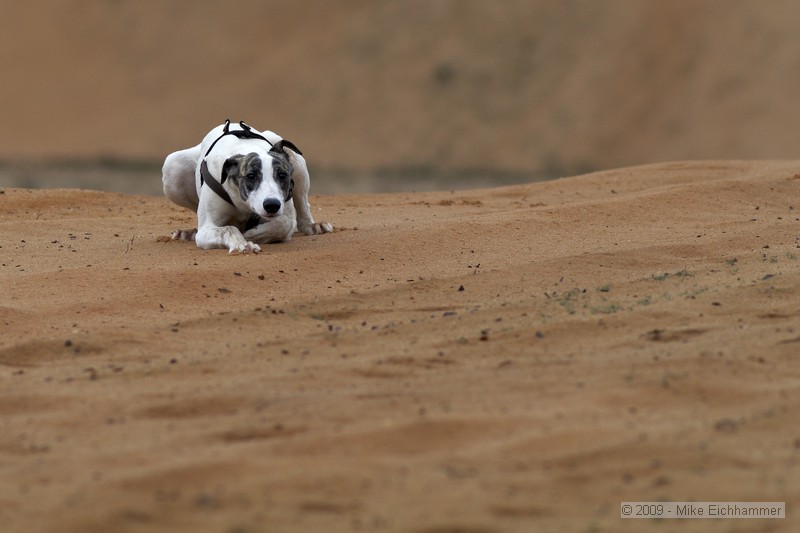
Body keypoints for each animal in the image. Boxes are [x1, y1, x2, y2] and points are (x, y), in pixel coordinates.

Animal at [162, 120, 332, 254]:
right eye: (250, 176)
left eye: (282, 175)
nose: (272, 205)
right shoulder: (207, 228)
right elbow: (228, 229)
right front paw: (242, 243)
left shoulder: (285, 215)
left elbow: (284, 223)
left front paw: (249, 235)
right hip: (172, 167)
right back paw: (189, 233)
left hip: (295, 160)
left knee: (303, 205)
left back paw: (313, 226)